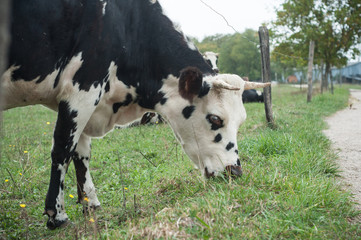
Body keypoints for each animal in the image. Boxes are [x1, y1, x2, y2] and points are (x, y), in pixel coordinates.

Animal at [1, 0, 268, 230]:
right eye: (215, 118)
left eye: (241, 121)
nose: (235, 172)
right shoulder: (83, 87)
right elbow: (63, 149)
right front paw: (57, 214)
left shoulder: (79, 99)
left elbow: (81, 152)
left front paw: (90, 202)